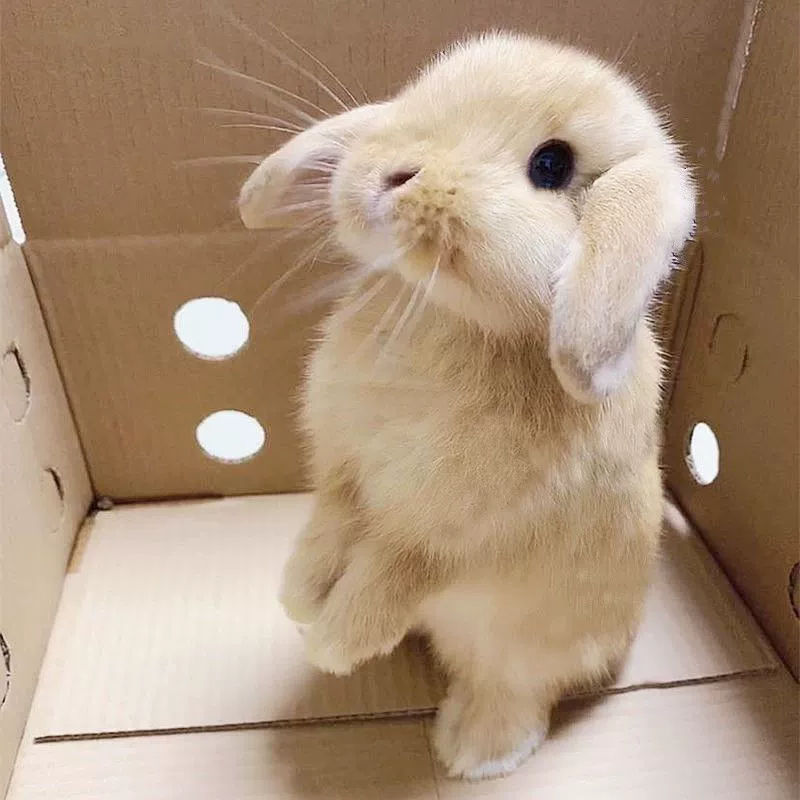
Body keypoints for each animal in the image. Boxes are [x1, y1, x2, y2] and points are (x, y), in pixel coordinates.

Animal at [238, 32, 695, 780]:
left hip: (530, 647)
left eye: (551, 164)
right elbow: (328, 524)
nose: (394, 174)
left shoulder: (444, 538)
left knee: (515, 689)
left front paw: (330, 646)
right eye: (420, 95)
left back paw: (474, 752)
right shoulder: (345, 473)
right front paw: (298, 599)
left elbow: (388, 580)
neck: (446, 317)